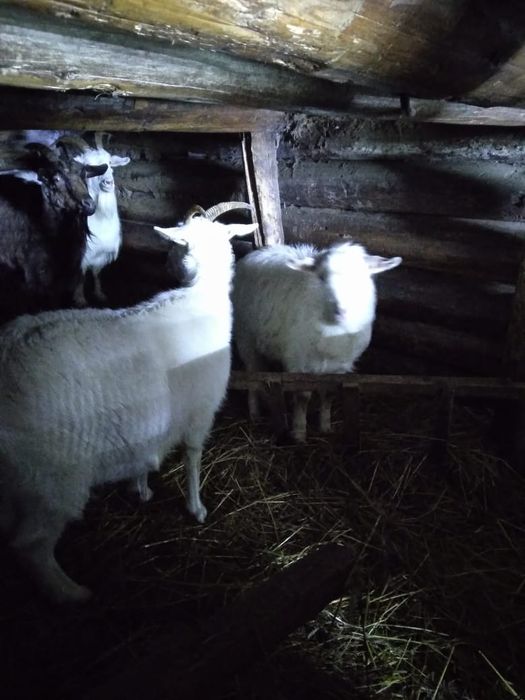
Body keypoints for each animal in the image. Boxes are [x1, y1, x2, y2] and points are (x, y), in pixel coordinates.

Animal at [0, 202, 256, 603]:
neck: (199, 296)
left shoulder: (148, 421)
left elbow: (145, 451)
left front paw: (141, 489)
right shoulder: (201, 411)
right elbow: (193, 458)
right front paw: (196, 508)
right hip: (50, 481)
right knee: (31, 546)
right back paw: (72, 592)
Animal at [232, 242, 402, 442]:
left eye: (360, 276)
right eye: (322, 277)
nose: (340, 310)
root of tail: (257, 252)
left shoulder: (340, 366)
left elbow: (328, 395)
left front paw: (325, 427)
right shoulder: (300, 362)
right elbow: (303, 397)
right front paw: (299, 433)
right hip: (246, 338)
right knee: (252, 376)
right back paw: (254, 413)